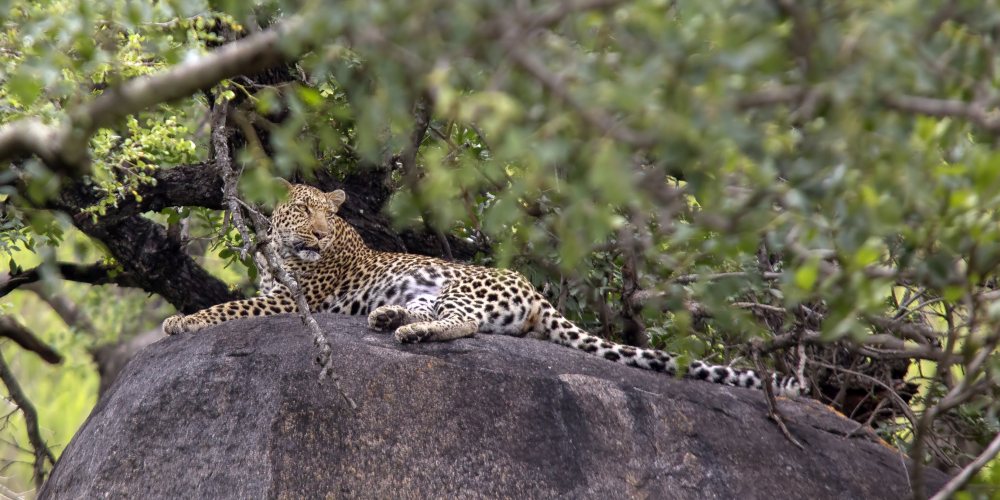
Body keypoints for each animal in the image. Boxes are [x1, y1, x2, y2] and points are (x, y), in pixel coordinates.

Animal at [164, 182, 804, 396]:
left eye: (326, 216)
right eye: (303, 211)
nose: (318, 234)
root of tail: (536, 290)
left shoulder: (291, 298)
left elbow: (229, 305)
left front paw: (182, 322)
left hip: (459, 286)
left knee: (465, 322)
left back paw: (407, 332)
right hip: (428, 288)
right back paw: (391, 320)